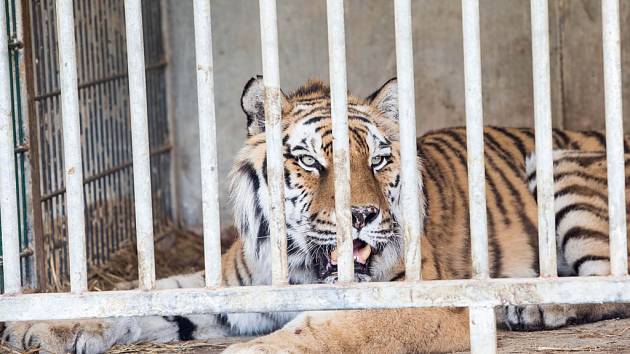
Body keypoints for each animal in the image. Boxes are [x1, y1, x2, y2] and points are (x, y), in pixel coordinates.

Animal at [3, 76, 630, 352]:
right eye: (310, 160)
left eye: (378, 159)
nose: (363, 216)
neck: (299, 264)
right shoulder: (233, 286)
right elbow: (138, 297)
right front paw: (48, 324)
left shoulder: (421, 301)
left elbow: (322, 329)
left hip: (560, 170)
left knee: (607, 283)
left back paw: (532, 305)